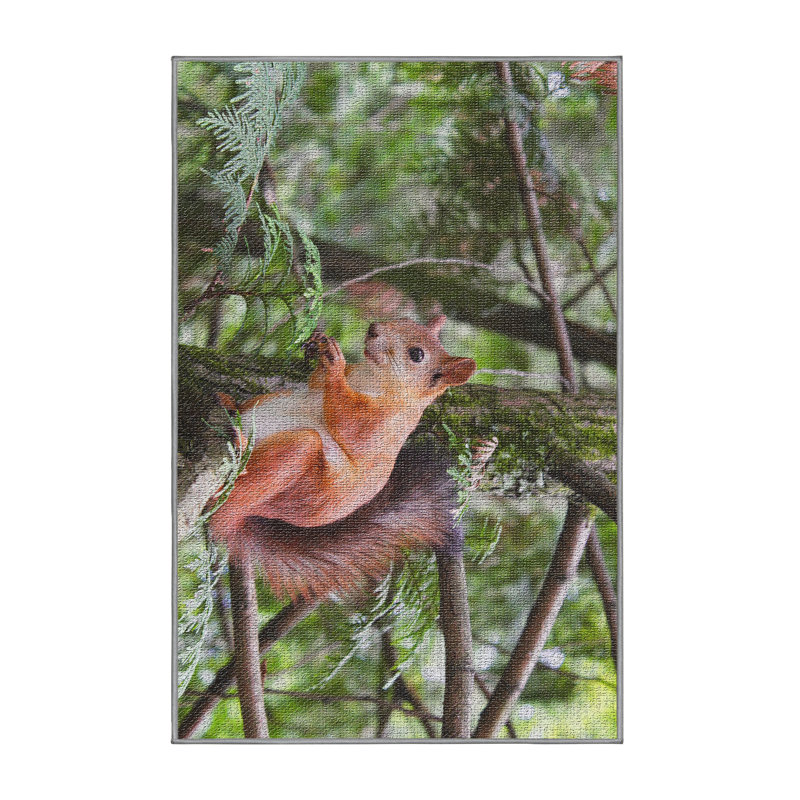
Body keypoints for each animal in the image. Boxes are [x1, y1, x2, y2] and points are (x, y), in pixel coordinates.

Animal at [207, 315, 476, 597]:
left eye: (417, 354)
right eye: (404, 320)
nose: (374, 329)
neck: (371, 377)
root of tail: (246, 513)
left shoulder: (383, 425)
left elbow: (350, 424)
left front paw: (335, 363)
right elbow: (316, 384)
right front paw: (319, 344)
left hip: (296, 470)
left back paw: (237, 448)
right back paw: (229, 404)